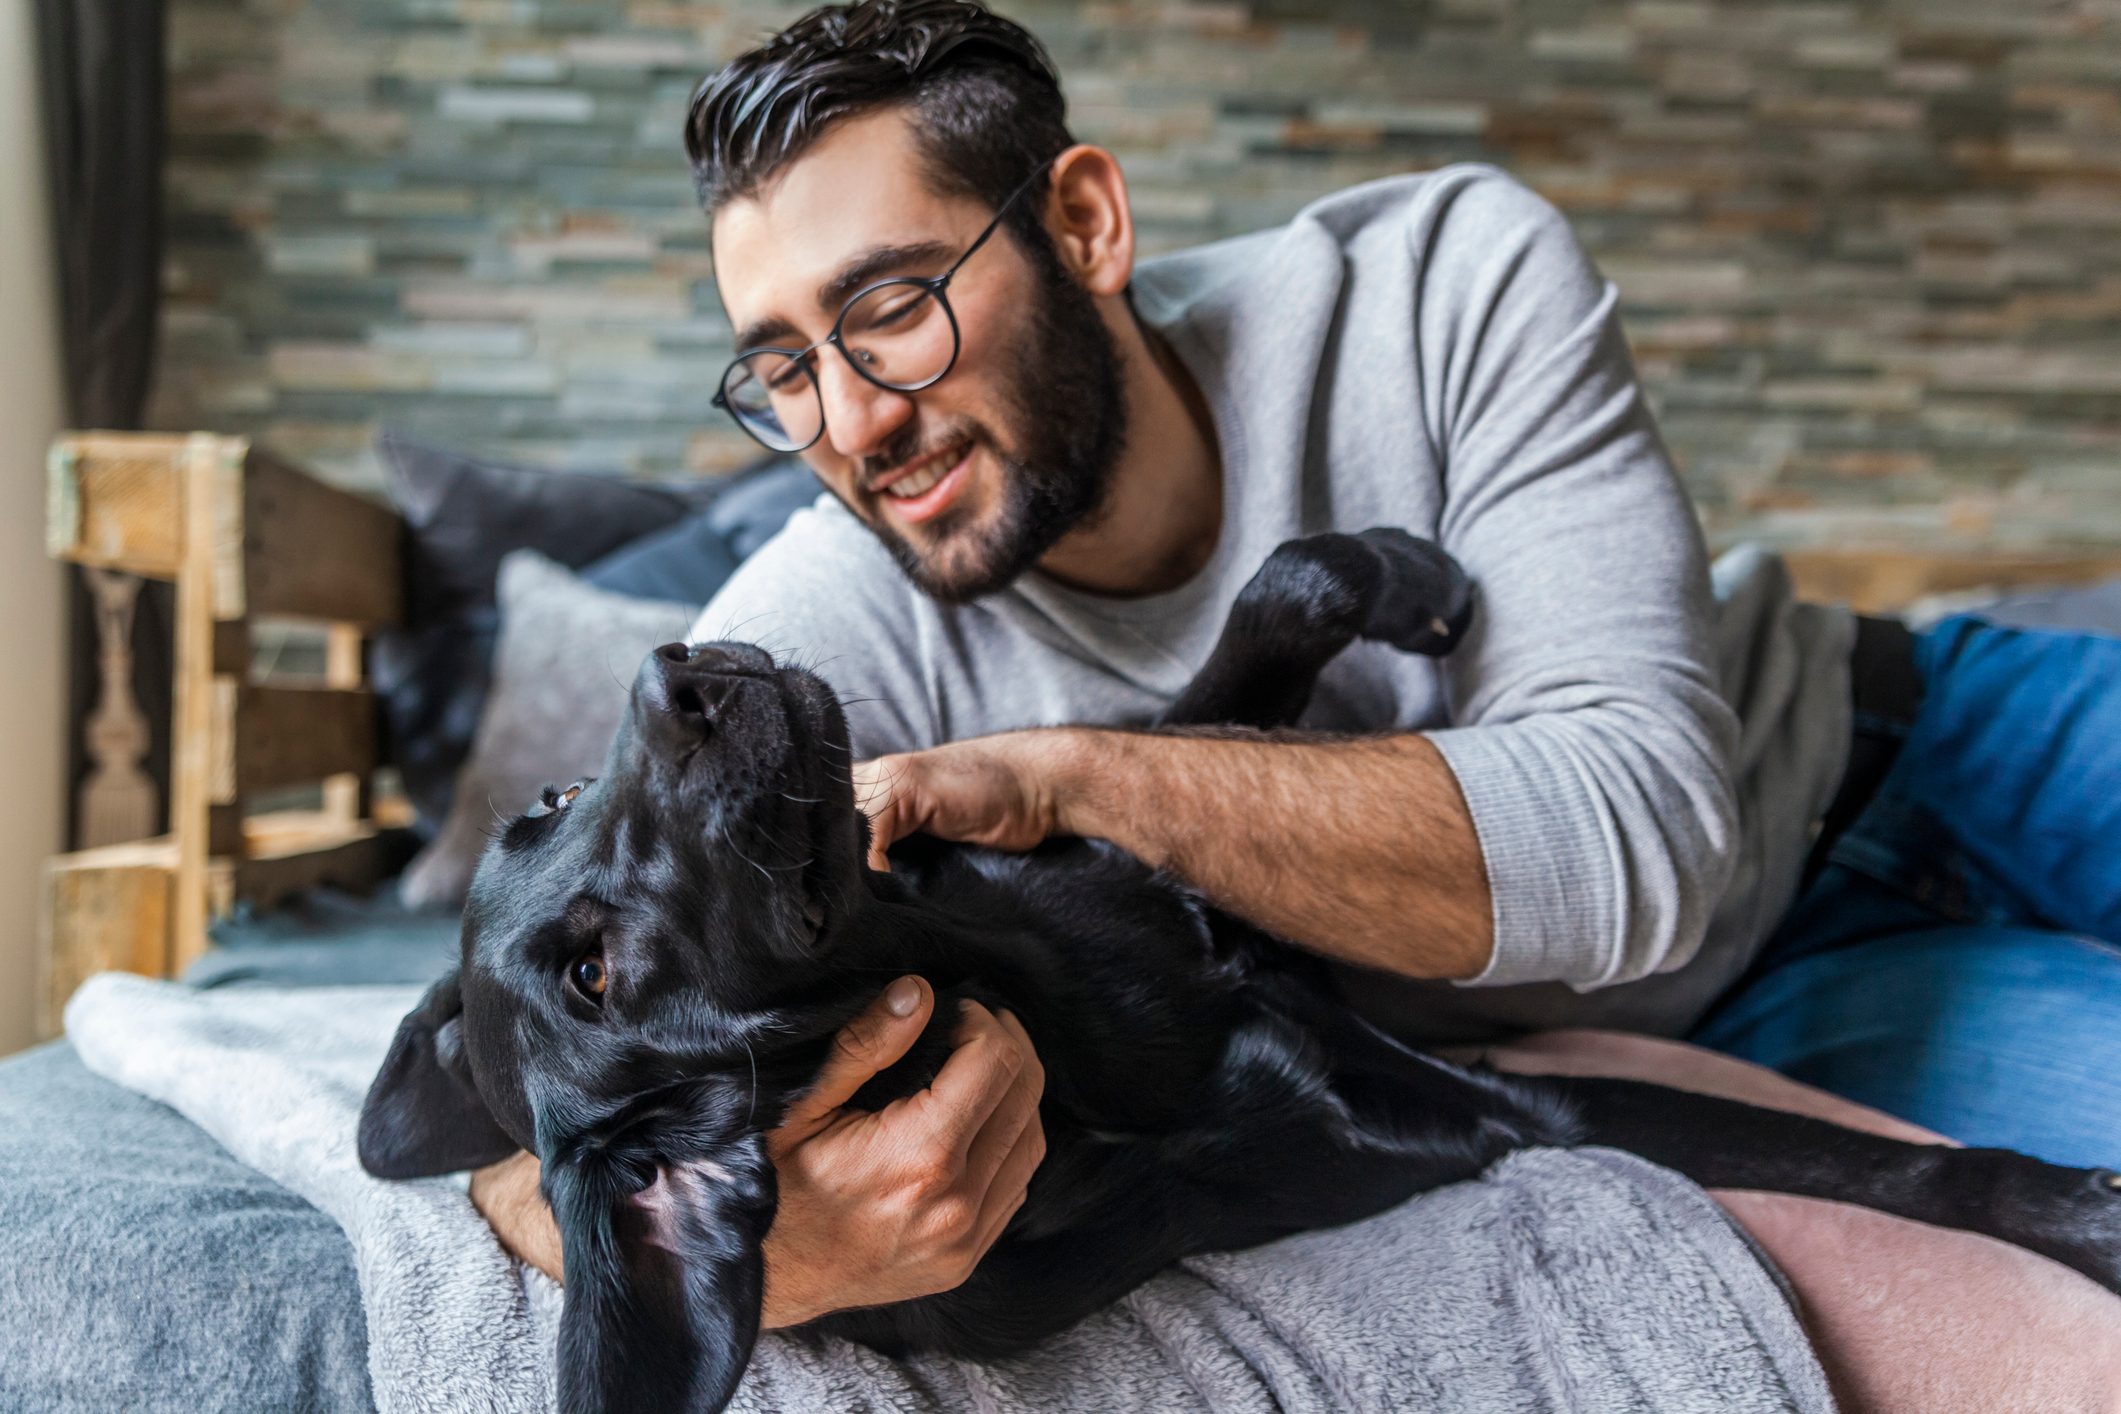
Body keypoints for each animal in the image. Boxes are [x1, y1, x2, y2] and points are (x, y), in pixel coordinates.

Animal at [360, 529, 2121, 1414]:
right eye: (593, 975)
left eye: (542, 800)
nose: (674, 675)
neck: (1022, 974)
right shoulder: (1488, 1110)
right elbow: (1864, 1158)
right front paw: (2072, 1210)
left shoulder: (1104, 820)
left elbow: (1254, 620)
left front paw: (1406, 571)